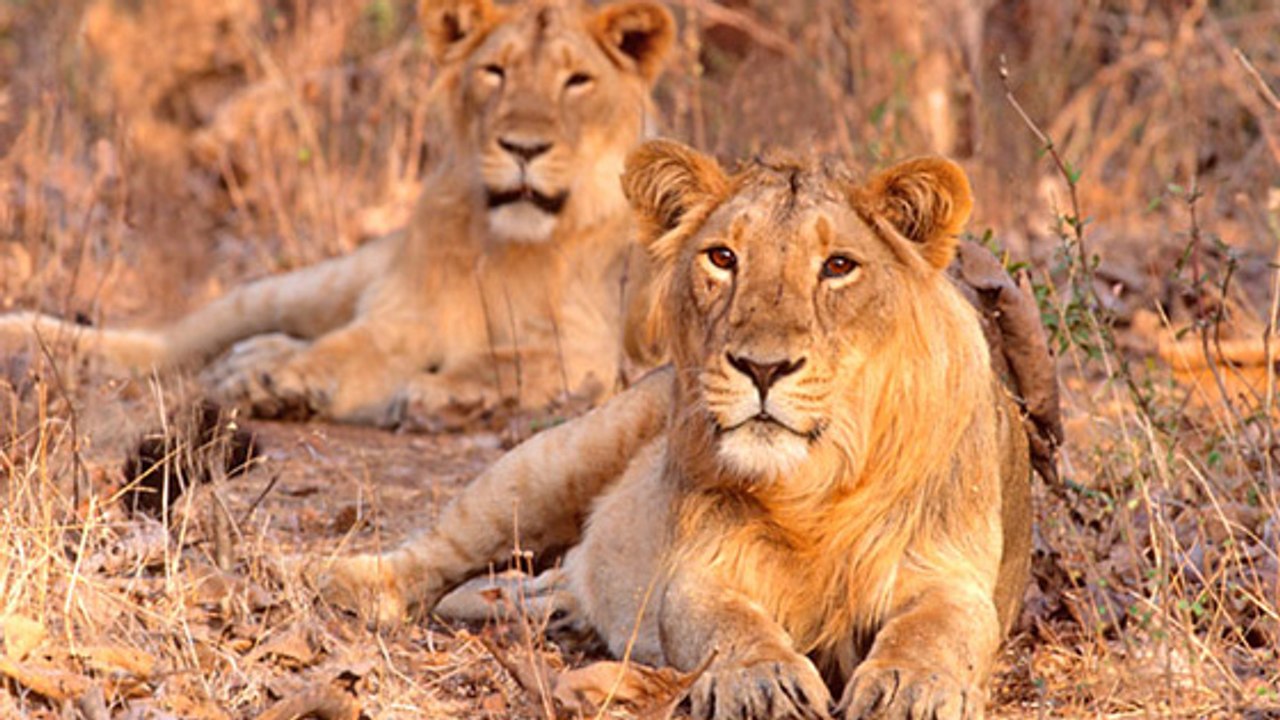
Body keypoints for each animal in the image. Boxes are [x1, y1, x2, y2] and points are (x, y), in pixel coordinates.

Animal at [0, 0, 675, 426]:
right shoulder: (403, 317)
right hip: (306, 285)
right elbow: (345, 350)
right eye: (494, 71)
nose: (524, 148)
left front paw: (441, 394)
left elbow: (509, 361)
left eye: (577, 81)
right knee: (171, 343)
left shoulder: (593, 349)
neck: (510, 245)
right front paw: (282, 383)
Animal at [321, 139, 1038, 719]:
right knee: (436, 551)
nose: (762, 366)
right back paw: (334, 580)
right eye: (722, 257)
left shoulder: (951, 572)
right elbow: (724, 623)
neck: (817, 487)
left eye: (838, 266)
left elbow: (939, 629)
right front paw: (763, 679)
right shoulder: (699, 569)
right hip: (553, 461)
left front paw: (910, 687)